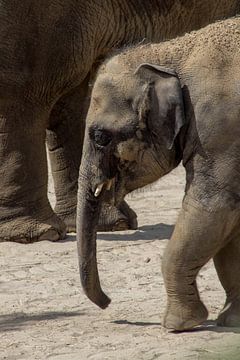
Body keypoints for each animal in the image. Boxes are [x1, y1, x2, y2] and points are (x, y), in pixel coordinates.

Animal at [77, 18, 240, 330]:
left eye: (100, 136)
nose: (108, 303)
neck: (173, 53)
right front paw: (231, 320)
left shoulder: (220, 129)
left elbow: (214, 206)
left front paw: (178, 324)